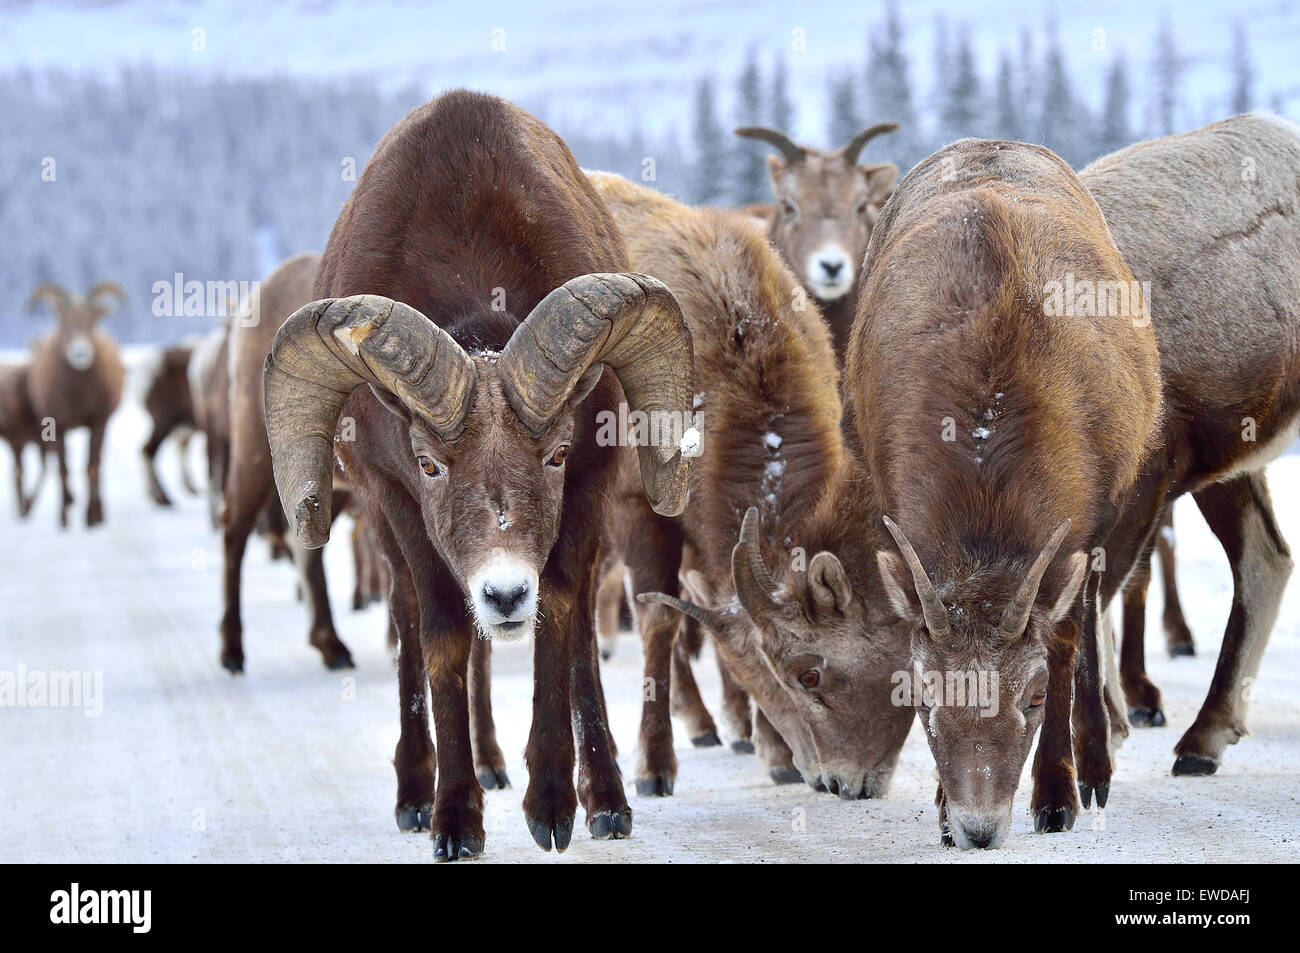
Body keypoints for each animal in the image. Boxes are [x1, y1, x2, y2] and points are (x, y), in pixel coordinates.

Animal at [26, 278, 128, 530]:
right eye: (64, 324)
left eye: (91, 323)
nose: (80, 353)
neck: (76, 395)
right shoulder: (58, 426)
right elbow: (63, 469)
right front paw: (63, 519)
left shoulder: (98, 422)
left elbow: (91, 466)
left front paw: (92, 519)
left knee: (99, 464)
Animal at [590, 169, 915, 795]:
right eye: (802, 676)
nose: (835, 781)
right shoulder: (634, 510)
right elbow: (658, 621)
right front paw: (653, 769)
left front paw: (763, 746)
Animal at [847, 139, 1164, 847]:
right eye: (925, 697)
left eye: (1034, 696)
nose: (979, 828)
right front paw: (940, 812)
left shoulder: (1082, 530)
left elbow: (1067, 640)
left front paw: (1057, 799)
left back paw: (1096, 772)